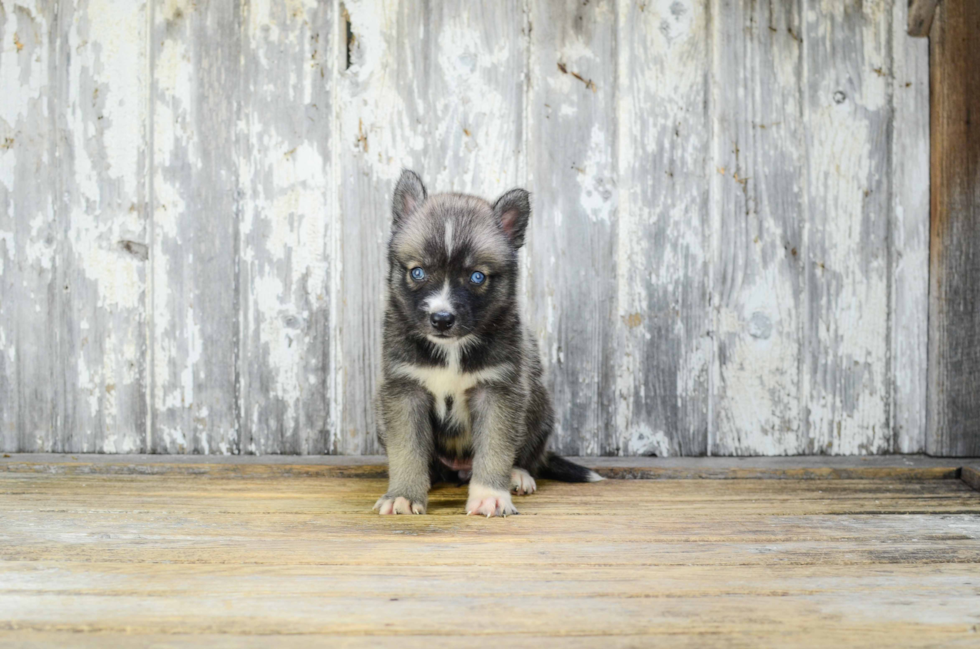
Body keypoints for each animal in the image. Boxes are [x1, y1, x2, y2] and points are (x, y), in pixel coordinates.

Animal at [376, 168, 600, 516]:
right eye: (418, 272)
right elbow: (406, 450)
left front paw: (490, 496)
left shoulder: (498, 391)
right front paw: (403, 495)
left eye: (477, 276)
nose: (442, 319)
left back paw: (518, 475)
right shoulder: (404, 389)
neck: (451, 348)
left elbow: (495, 448)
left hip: (538, 404)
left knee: (527, 456)